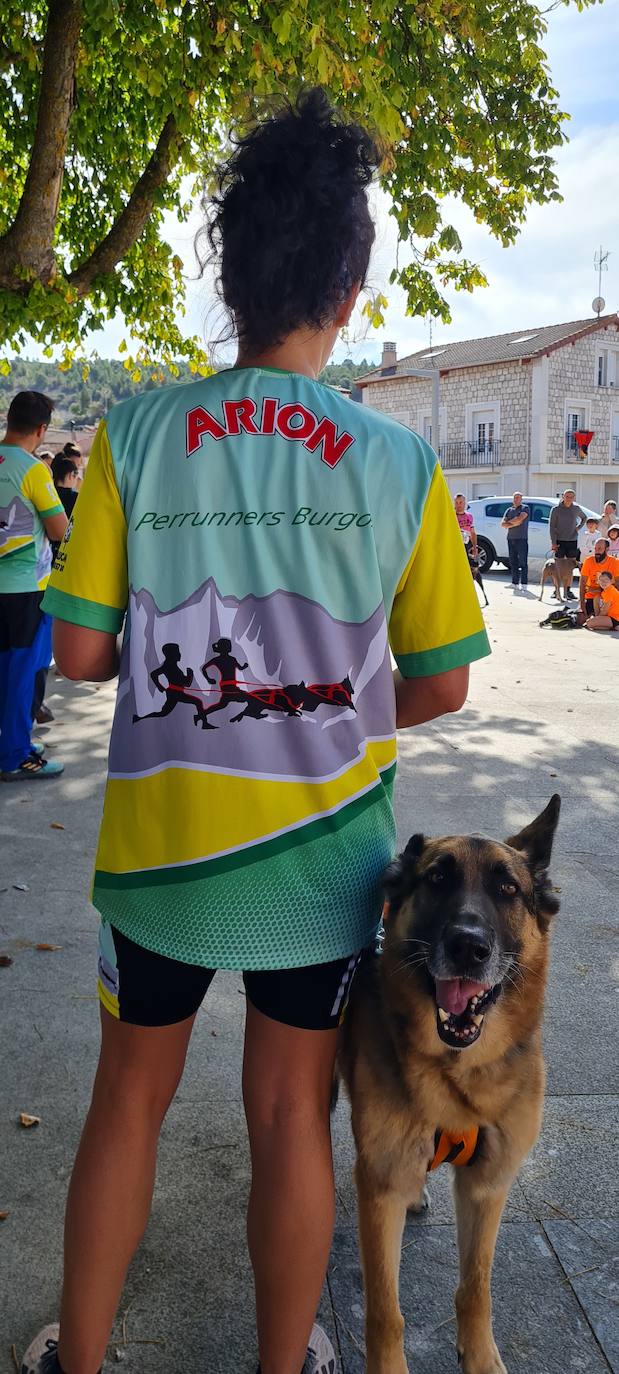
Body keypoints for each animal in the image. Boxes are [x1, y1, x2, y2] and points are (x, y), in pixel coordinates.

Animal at [339, 796, 562, 1374]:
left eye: (508, 889)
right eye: (438, 878)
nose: (468, 947)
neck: (457, 1072)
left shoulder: (487, 1187)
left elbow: (476, 1286)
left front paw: (479, 1356)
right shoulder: (381, 1187)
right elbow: (385, 1310)